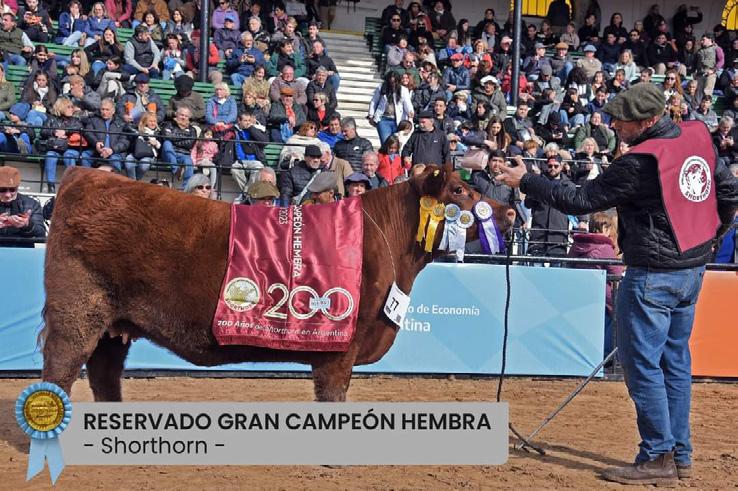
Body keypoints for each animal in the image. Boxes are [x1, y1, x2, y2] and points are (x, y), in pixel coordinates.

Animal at [41, 165, 515, 402]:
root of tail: (85, 175)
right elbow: (333, 394)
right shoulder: (341, 340)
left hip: (114, 326)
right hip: (78, 310)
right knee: (62, 367)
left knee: (104, 374)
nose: (508, 212)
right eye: (459, 190)